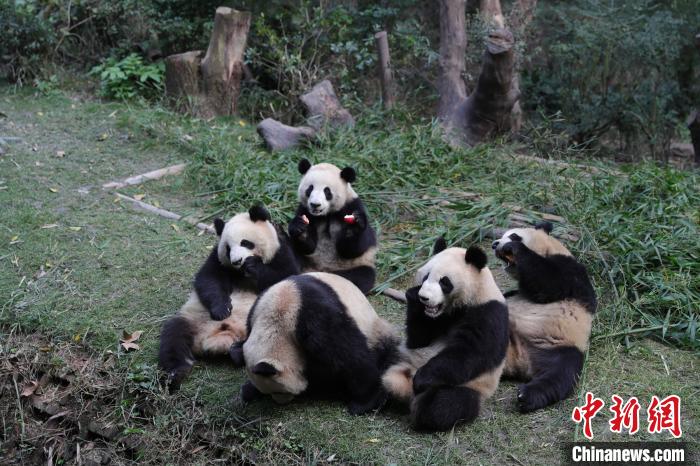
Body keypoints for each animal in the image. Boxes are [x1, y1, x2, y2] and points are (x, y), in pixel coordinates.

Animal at [159, 206, 300, 388]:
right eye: (228, 248)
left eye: (245, 242)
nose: (237, 261)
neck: (241, 273)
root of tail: (214, 341)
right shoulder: (217, 257)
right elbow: (209, 279)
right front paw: (222, 310)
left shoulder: (281, 250)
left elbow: (285, 275)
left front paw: (253, 265)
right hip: (192, 319)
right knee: (173, 337)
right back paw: (176, 373)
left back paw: (236, 352)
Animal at [232, 272, 400, 414]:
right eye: (272, 392)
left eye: (279, 391)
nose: (281, 402)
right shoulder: (255, 313)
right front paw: (251, 388)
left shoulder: (314, 317)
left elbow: (350, 356)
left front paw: (365, 403)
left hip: (374, 330)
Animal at [288, 158, 378, 294]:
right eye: (310, 189)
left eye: (327, 191)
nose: (315, 205)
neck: (326, 214)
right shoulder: (305, 210)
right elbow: (309, 247)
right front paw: (300, 228)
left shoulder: (352, 206)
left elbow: (352, 250)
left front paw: (354, 228)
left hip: (355, 265)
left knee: (363, 276)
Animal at [382, 240, 508, 434]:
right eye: (425, 277)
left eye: (444, 282)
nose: (424, 297)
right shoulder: (434, 319)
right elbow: (418, 340)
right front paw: (413, 296)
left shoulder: (488, 312)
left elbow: (468, 354)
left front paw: (422, 379)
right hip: (402, 357)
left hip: (470, 386)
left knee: (444, 405)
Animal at [492, 221, 596, 412]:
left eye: (513, 235)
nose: (495, 245)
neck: (550, 248)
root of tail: (519, 360)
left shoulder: (571, 270)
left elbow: (547, 283)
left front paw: (514, 248)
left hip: (560, 346)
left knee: (560, 374)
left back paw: (527, 396)